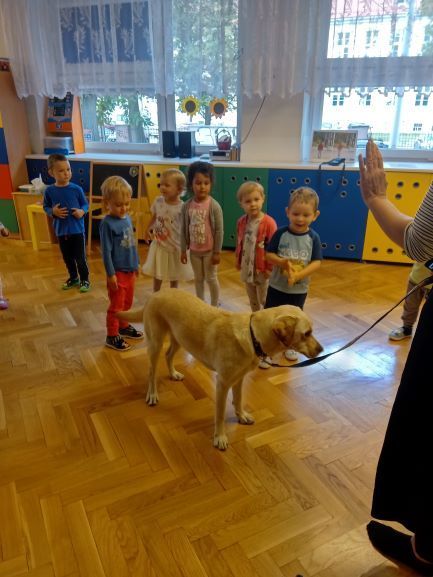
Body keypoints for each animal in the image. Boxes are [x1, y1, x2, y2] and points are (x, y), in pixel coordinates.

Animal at [118, 288, 322, 450]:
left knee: (168, 355)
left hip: (180, 339)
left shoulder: (239, 379)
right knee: (151, 371)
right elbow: (221, 413)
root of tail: (155, 294)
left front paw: (241, 416)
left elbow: (238, 400)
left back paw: (174, 374)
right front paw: (220, 437)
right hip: (156, 343)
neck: (253, 337)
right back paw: (152, 394)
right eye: (306, 333)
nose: (321, 350)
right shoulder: (222, 384)